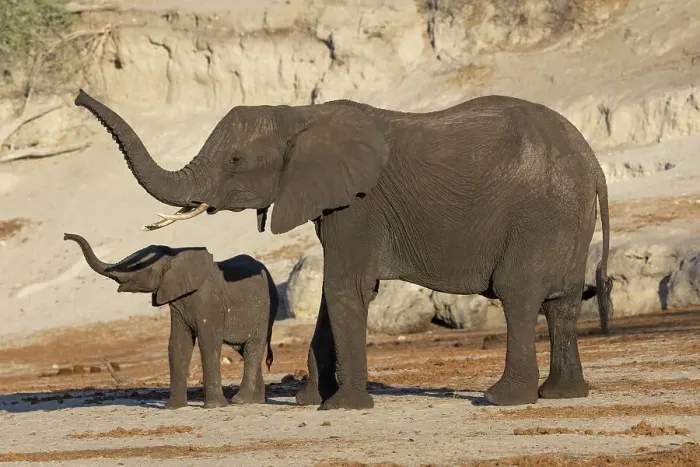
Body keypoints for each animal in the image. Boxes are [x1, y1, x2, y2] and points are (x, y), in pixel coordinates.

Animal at [64, 233, 278, 409]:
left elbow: (208, 343)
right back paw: (256, 401)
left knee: (253, 348)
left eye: (138, 266)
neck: (175, 255)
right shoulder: (177, 302)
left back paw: (241, 401)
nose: (66, 236)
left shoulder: (209, 300)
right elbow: (178, 344)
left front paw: (214, 407)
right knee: (245, 350)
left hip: (265, 310)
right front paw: (173, 408)